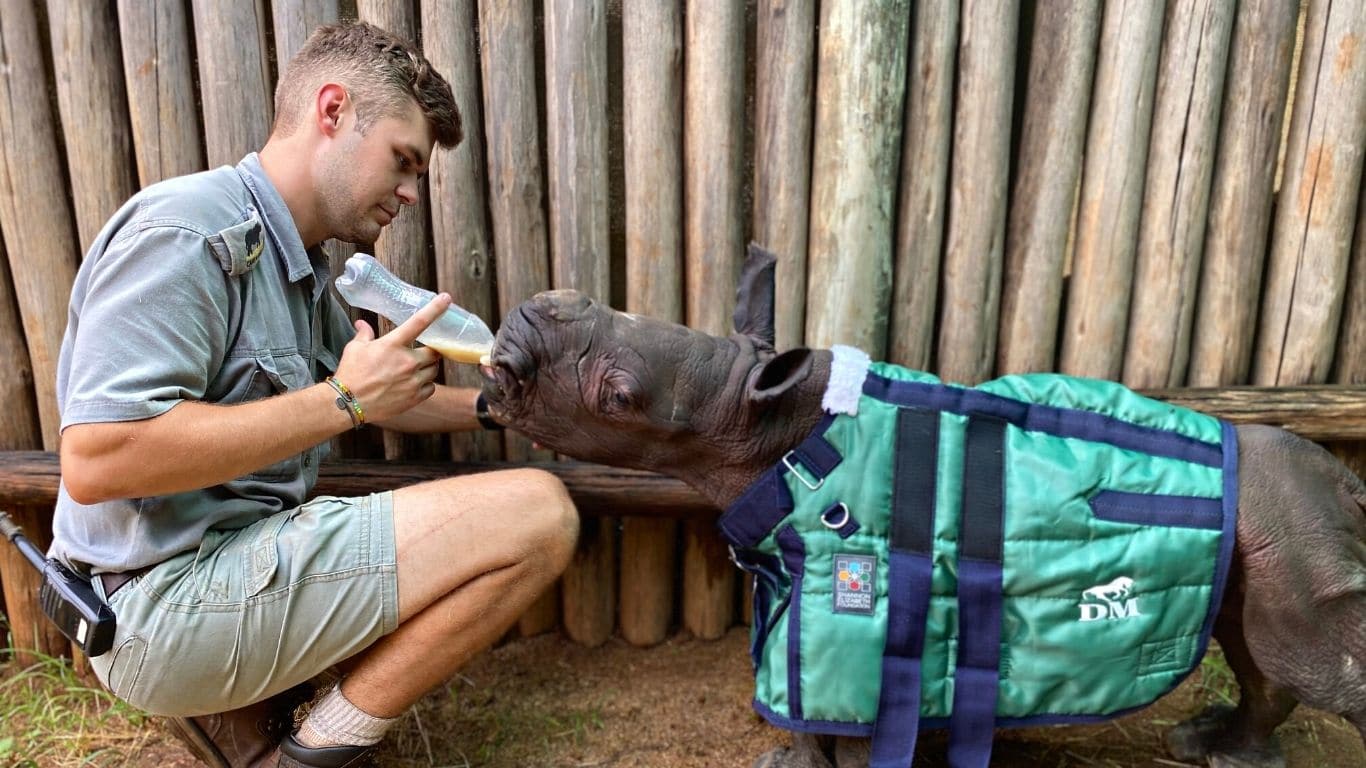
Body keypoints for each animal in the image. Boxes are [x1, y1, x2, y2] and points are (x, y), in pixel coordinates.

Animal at [475, 244, 1360, 765]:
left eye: (619, 397)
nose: (529, 312)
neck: (767, 428)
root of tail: (1344, 479)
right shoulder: (795, 589)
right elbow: (801, 713)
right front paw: (787, 764)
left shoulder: (862, 621)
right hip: (1276, 535)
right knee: (1258, 644)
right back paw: (1212, 747)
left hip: (1293, 527)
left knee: (1300, 654)